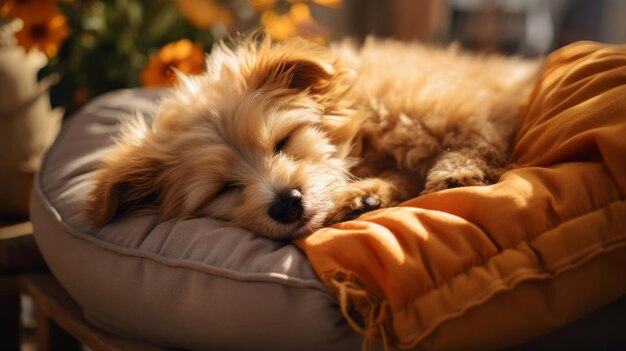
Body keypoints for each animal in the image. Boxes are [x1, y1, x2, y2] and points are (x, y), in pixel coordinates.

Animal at [83, 34, 540, 241]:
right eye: (223, 188)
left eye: (283, 141)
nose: (286, 203)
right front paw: (365, 195)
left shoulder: (444, 105)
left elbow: (480, 134)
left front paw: (456, 170)